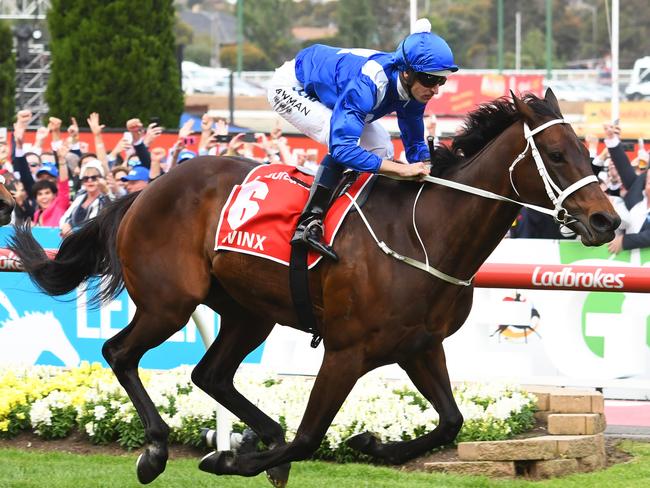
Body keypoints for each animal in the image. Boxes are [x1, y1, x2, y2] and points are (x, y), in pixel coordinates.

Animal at [10, 90, 616, 484]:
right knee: (120, 352)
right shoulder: (348, 350)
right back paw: (159, 449)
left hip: (249, 312)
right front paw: (232, 459)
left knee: (210, 374)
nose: (607, 221)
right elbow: (309, 437)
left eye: (589, 154)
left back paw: (260, 433)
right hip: (169, 303)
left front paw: (371, 443)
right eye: (556, 156)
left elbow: (450, 422)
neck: (427, 232)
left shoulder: (420, 347)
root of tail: (146, 189)